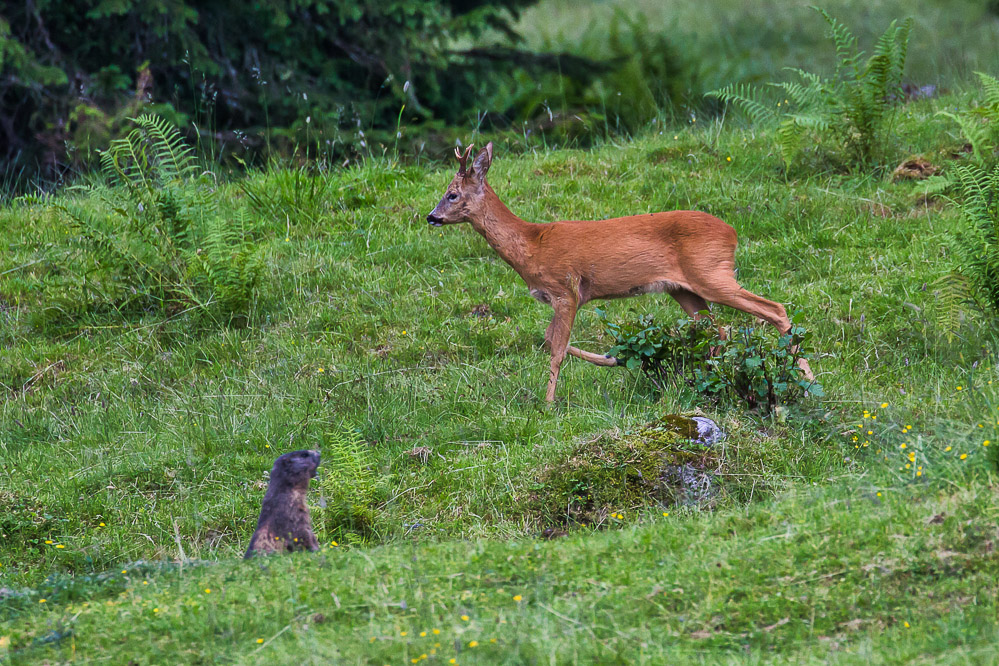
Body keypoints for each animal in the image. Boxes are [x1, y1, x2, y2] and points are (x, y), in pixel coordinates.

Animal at [426, 143, 816, 402]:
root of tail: (732, 233)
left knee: (774, 309)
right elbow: (551, 340)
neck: (532, 244)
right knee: (718, 330)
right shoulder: (560, 297)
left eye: (452, 194)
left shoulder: (567, 290)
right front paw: (611, 359)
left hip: (712, 274)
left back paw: (808, 381)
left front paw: (549, 403)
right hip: (684, 289)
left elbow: (555, 347)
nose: (431, 217)